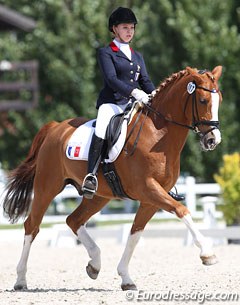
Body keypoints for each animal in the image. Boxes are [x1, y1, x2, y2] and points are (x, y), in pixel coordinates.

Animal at [2, 66, 222, 290]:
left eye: (219, 100)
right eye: (203, 100)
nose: (213, 140)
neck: (158, 134)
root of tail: (55, 127)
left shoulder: (150, 200)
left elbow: (135, 234)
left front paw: (126, 278)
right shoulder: (148, 189)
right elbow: (181, 210)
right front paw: (207, 253)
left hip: (99, 196)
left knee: (73, 220)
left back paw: (94, 264)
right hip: (47, 187)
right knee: (32, 226)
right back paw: (21, 280)